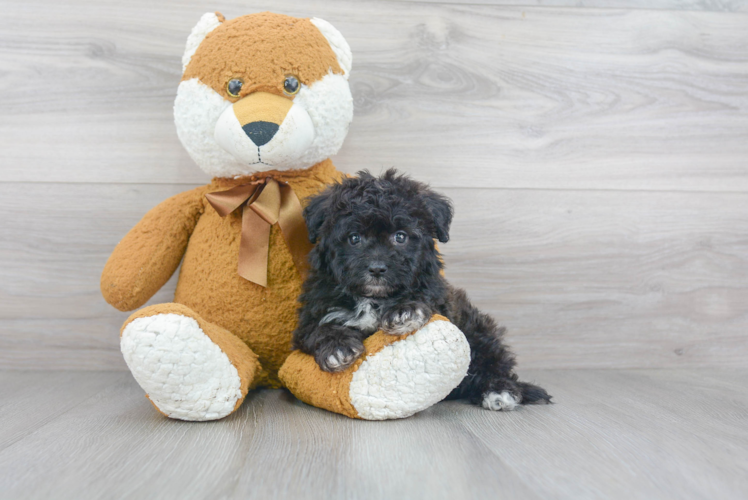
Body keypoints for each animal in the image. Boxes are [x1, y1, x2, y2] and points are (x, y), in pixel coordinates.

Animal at [292, 170, 548, 412]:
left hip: (479, 331)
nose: (377, 268)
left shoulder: (438, 299)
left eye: (400, 236)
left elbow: (421, 300)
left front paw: (405, 311)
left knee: (493, 363)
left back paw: (499, 391)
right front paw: (337, 347)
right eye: (354, 238)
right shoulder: (313, 314)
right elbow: (318, 329)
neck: (374, 298)